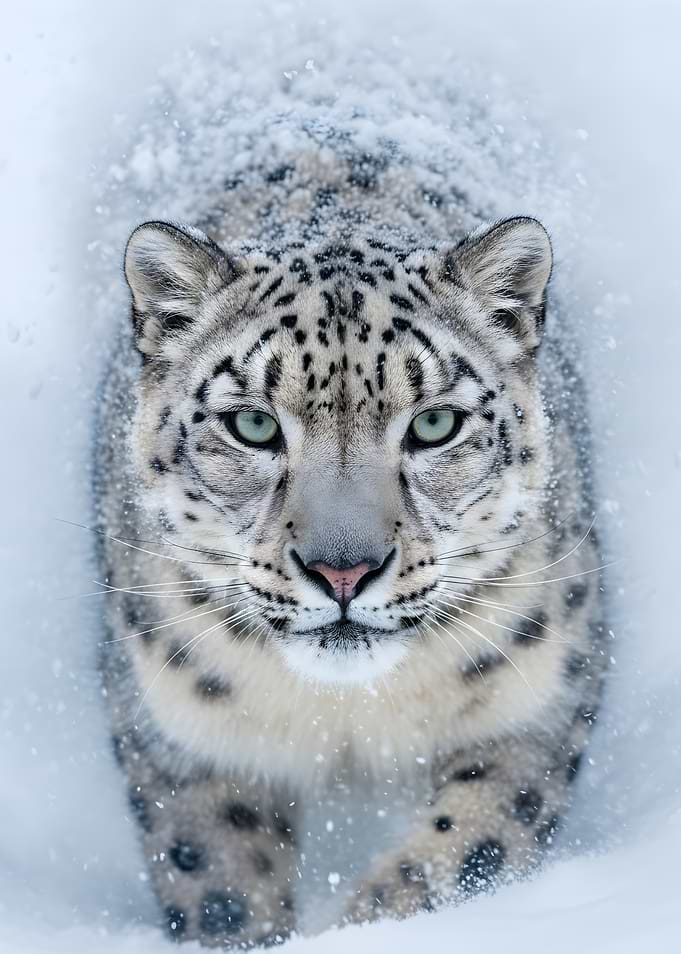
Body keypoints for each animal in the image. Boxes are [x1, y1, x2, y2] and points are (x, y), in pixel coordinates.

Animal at [94, 57, 607, 949]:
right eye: (253, 424)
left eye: (434, 422)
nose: (343, 571)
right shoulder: (182, 737)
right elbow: (218, 880)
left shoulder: (539, 691)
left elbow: (475, 845)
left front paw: (380, 919)